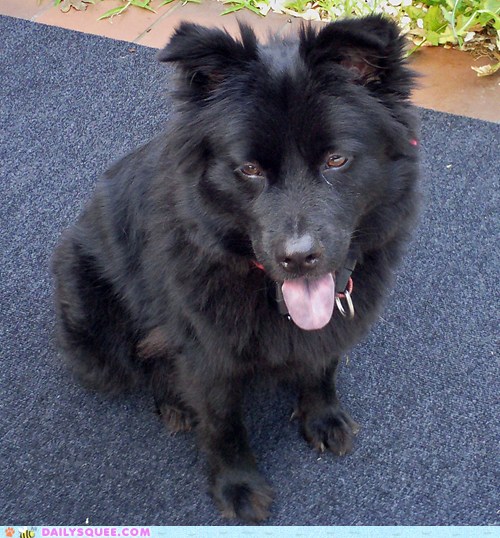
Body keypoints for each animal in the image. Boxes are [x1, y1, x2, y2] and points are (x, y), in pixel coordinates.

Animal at [52, 16, 420, 520]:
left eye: (336, 159)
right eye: (249, 169)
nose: (298, 257)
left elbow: (322, 364)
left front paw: (322, 416)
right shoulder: (206, 355)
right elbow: (223, 424)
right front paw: (237, 486)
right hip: (99, 338)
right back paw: (173, 403)